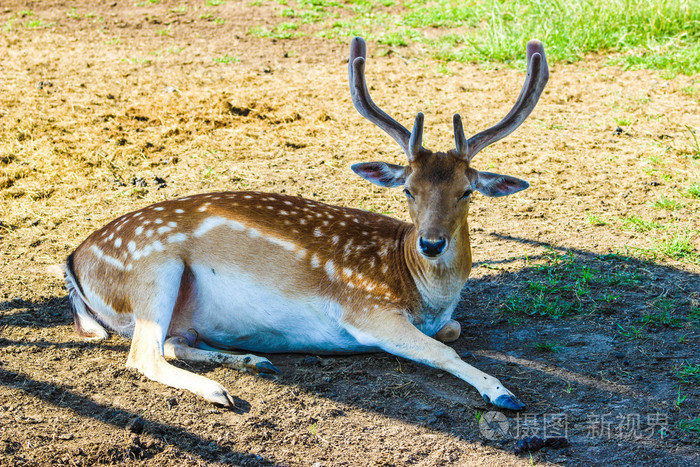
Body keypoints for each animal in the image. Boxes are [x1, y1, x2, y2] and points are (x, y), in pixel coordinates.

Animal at [58, 36, 548, 412]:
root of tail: (72, 261)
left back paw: (253, 360)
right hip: (152, 267)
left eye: (466, 191)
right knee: (143, 354)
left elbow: (453, 331)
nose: (431, 243)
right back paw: (221, 392)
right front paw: (503, 392)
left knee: (171, 342)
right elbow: (443, 349)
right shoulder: (367, 308)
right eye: (408, 189)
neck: (423, 291)